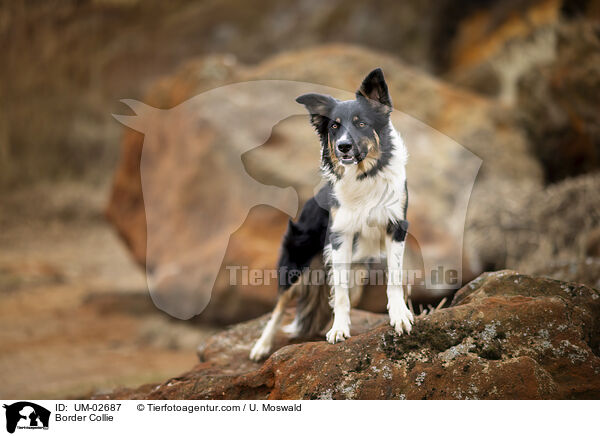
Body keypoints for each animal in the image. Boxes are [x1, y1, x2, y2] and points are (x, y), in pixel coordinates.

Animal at [250, 68, 412, 362]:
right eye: (334, 127)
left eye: (361, 123)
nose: (343, 146)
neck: (364, 176)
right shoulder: (340, 235)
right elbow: (340, 295)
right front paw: (339, 331)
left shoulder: (396, 227)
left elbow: (394, 279)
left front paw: (400, 316)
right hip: (296, 262)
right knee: (280, 306)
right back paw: (262, 346)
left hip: (358, 273)